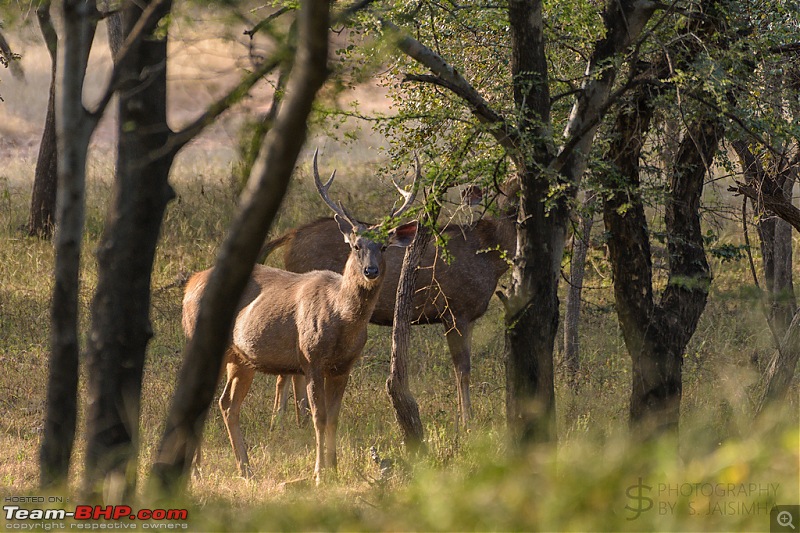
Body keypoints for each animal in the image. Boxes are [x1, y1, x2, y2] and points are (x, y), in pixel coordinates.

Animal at [182, 151, 418, 482]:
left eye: (384, 246)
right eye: (356, 246)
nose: (370, 270)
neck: (341, 319)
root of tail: (190, 283)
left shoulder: (344, 366)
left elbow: (334, 417)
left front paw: (334, 467)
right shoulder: (311, 358)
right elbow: (318, 416)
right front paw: (319, 473)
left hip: (241, 358)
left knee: (227, 403)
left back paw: (246, 468)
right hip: (203, 341)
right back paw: (197, 470)